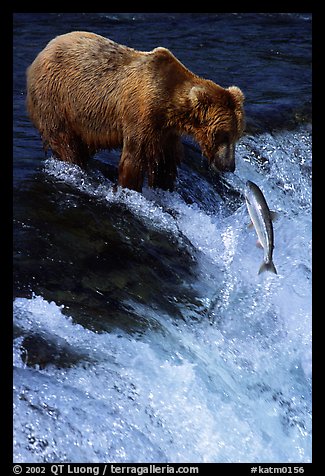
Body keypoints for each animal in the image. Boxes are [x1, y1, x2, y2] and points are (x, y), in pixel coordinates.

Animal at [26, 30, 244, 192]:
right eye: (222, 135)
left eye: (236, 135)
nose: (229, 166)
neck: (169, 104)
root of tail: (43, 51)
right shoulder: (140, 113)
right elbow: (135, 156)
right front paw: (130, 188)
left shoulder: (165, 130)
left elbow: (165, 160)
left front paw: (164, 185)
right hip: (56, 98)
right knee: (65, 141)